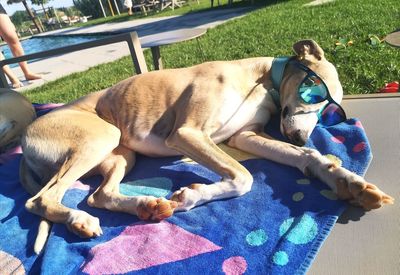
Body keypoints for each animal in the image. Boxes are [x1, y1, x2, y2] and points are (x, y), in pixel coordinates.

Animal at [20, 40, 392, 254]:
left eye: (329, 110)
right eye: (314, 92)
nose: (300, 136)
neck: (259, 78)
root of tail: (25, 136)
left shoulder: (245, 136)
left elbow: (307, 158)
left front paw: (348, 181)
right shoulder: (188, 133)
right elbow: (243, 177)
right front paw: (192, 196)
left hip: (122, 155)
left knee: (99, 195)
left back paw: (146, 206)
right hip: (100, 139)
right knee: (40, 199)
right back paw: (78, 219)